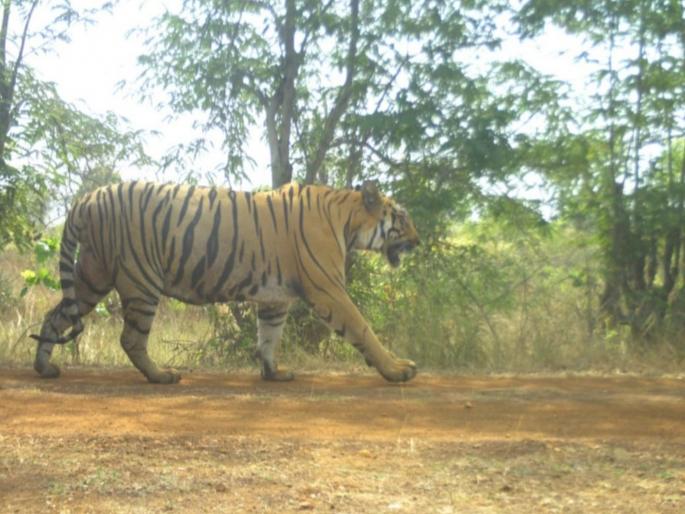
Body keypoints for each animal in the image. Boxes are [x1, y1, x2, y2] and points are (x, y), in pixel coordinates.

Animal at [32, 181, 420, 384]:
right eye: (402, 218)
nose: (418, 240)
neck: (347, 219)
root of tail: (87, 198)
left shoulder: (275, 298)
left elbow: (269, 337)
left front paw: (273, 373)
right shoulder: (329, 290)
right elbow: (363, 329)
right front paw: (397, 369)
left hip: (92, 277)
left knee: (55, 316)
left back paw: (44, 367)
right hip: (141, 280)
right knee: (131, 338)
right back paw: (161, 376)